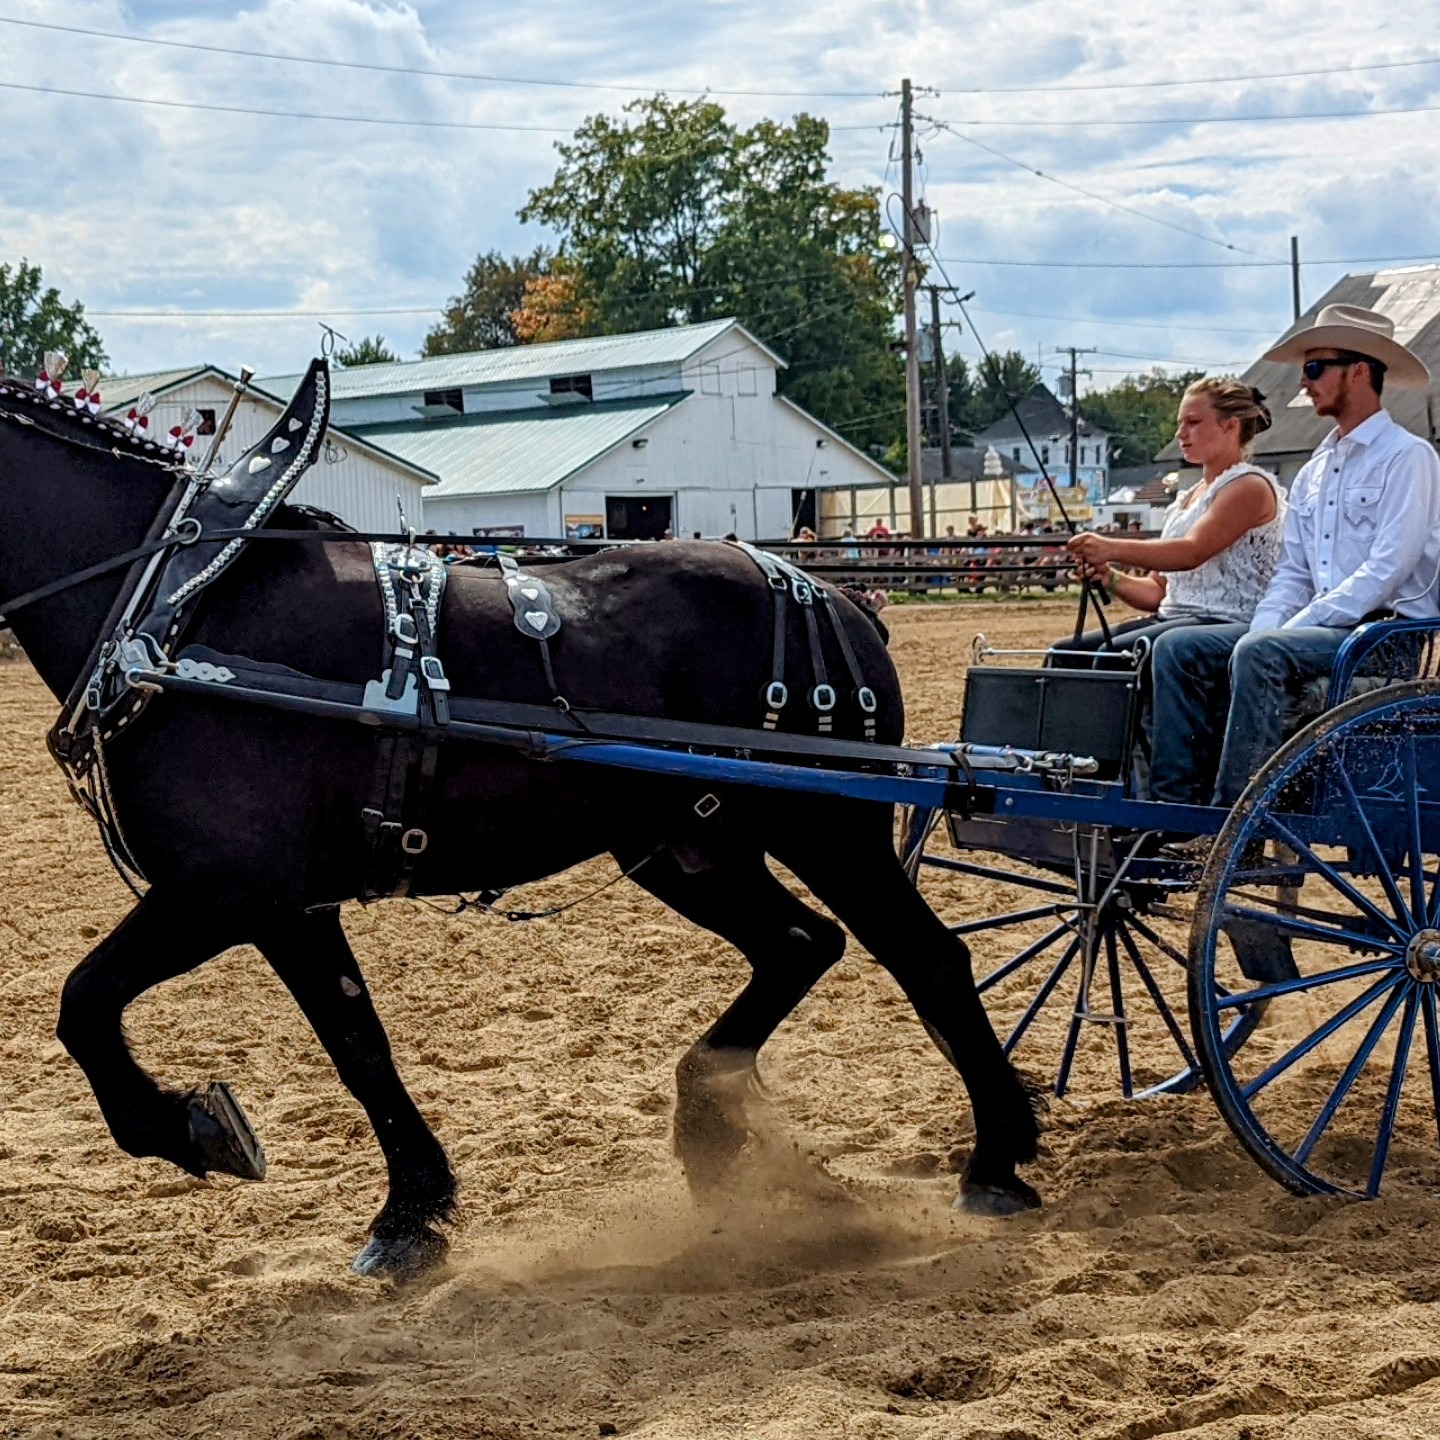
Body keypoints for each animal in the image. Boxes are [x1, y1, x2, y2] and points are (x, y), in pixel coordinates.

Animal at [0, 388, 1042, 1278]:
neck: (177, 607)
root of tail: (841, 596)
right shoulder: (287, 907)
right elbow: (356, 1043)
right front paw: (411, 1212)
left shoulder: (225, 891)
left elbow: (84, 1004)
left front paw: (189, 1128)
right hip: (689, 847)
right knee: (800, 943)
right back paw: (709, 1121)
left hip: (827, 826)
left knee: (928, 958)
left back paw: (995, 1162)